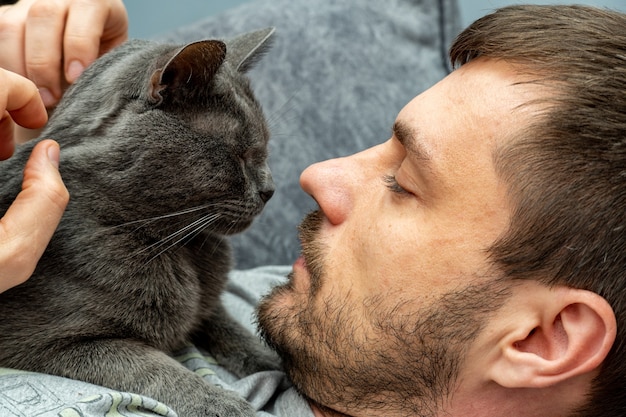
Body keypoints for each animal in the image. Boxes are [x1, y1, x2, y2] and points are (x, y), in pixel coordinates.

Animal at [0, 26, 278, 416]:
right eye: (240, 154)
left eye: (263, 149)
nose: (270, 189)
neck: (178, 247)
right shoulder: (49, 341)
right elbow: (156, 369)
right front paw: (225, 405)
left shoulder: (207, 303)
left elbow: (228, 325)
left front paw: (274, 359)